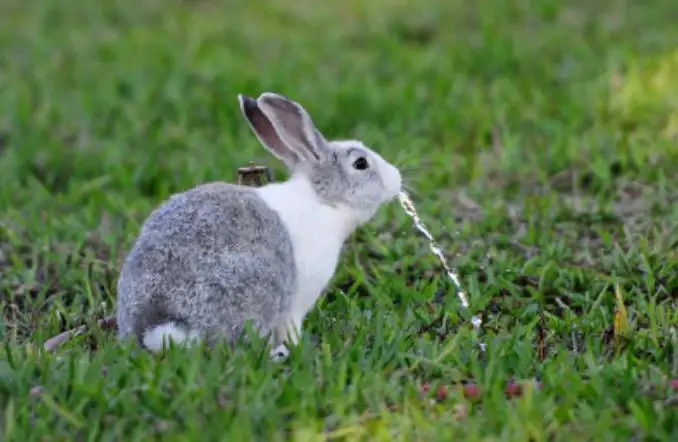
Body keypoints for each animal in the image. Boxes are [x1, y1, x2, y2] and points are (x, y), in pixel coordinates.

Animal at [115, 91, 404, 358]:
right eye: (361, 163)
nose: (396, 178)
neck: (323, 199)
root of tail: (159, 325)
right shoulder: (297, 301)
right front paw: (297, 346)